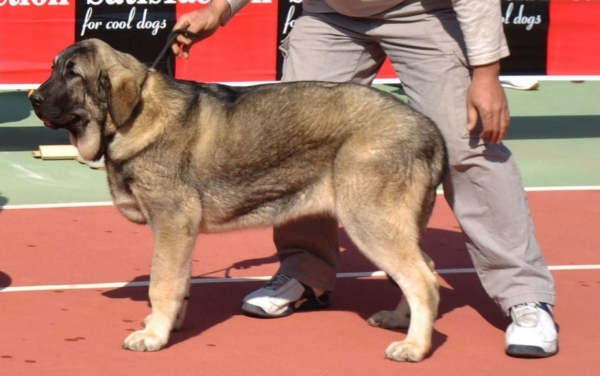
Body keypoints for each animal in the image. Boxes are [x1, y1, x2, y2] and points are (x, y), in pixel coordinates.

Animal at [30, 38, 448, 362]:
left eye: (73, 73)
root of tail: (429, 128)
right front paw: (167, 324)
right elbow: (178, 281)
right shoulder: (179, 234)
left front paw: (153, 336)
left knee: (423, 280)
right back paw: (401, 322)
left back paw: (414, 346)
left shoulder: (172, 223)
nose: (33, 98)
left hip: (370, 220)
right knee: (424, 266)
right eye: (54, 68)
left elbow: (161, 283)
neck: (132, 115)